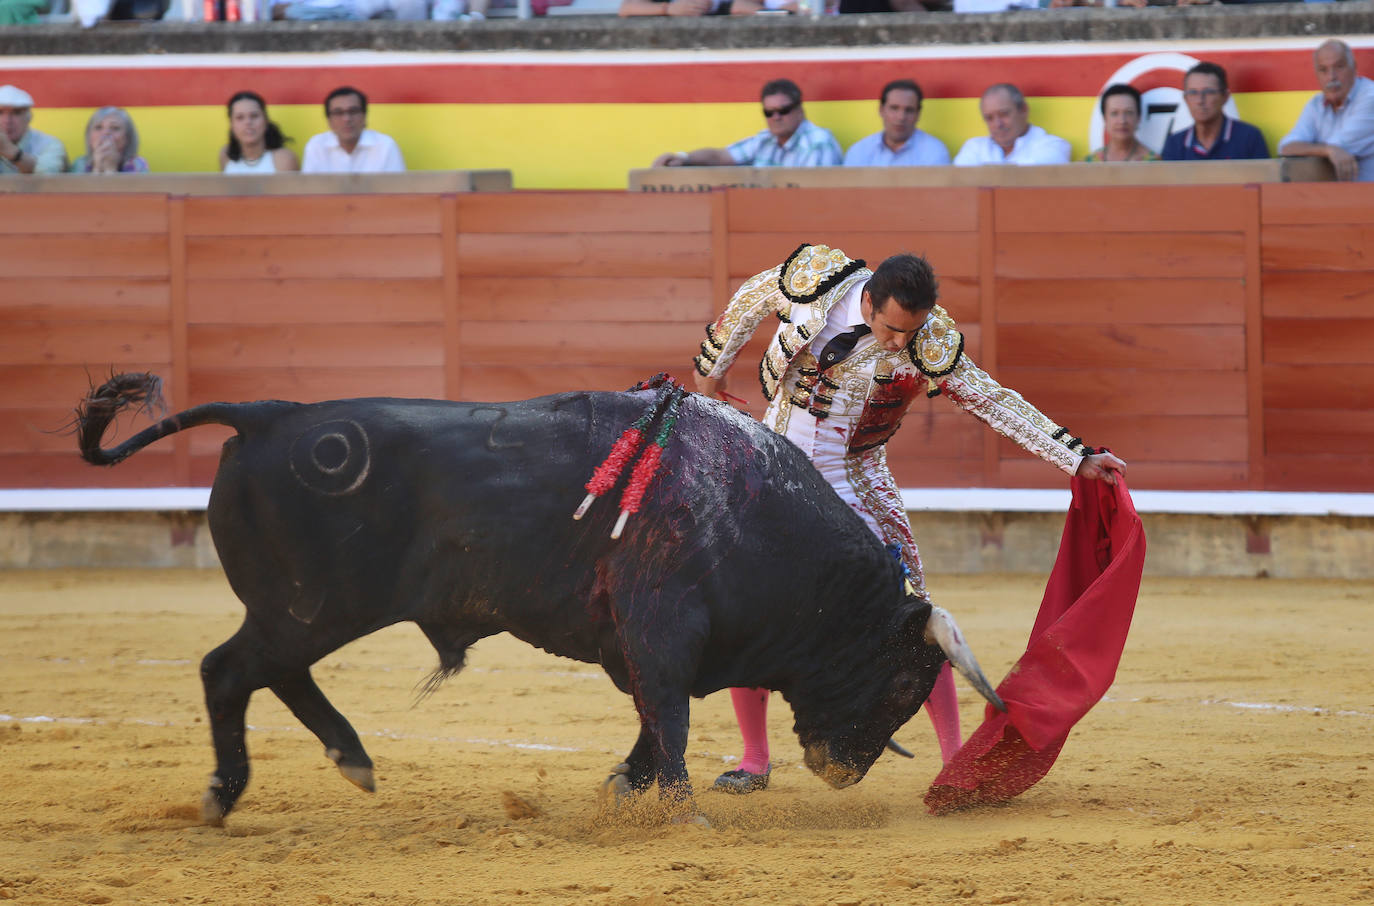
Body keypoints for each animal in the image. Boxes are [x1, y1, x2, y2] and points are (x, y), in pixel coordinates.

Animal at [77, 371, 1000, 824]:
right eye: (901, 679)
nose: (842, 772)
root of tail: (269, 414)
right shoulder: (662, 627)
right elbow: (669, 716)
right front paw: (681, 813)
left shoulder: (643, 641)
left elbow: (648, 720)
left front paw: (626, 790)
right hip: (311, 606)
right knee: (229, 670)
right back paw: (226, 793)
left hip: (303, 613)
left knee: (268, 673)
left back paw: (352, 759)